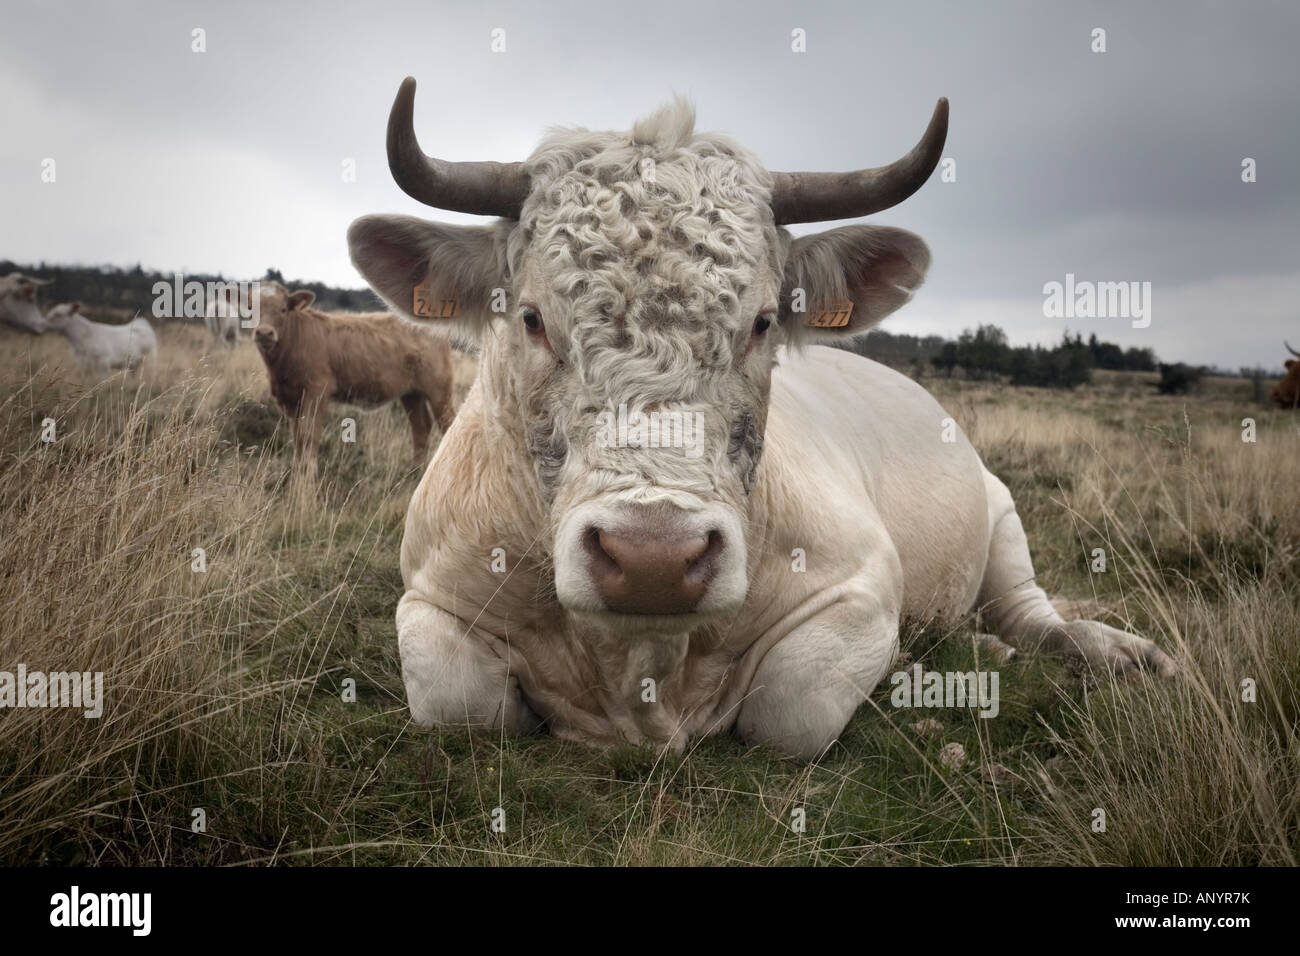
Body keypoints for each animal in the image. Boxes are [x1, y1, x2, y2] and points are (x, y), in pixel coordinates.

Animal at [252, 282, 457, 473]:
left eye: (283, 309)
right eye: (250, 309)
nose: (264, 333)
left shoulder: (317, 390)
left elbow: (309, 433)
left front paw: (309, 473)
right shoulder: (290, 398)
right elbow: (297, 436)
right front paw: (297, 470)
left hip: (439, 389)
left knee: (447, 424)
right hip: (411, 393)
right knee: (421, 426)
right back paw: (415, 471)